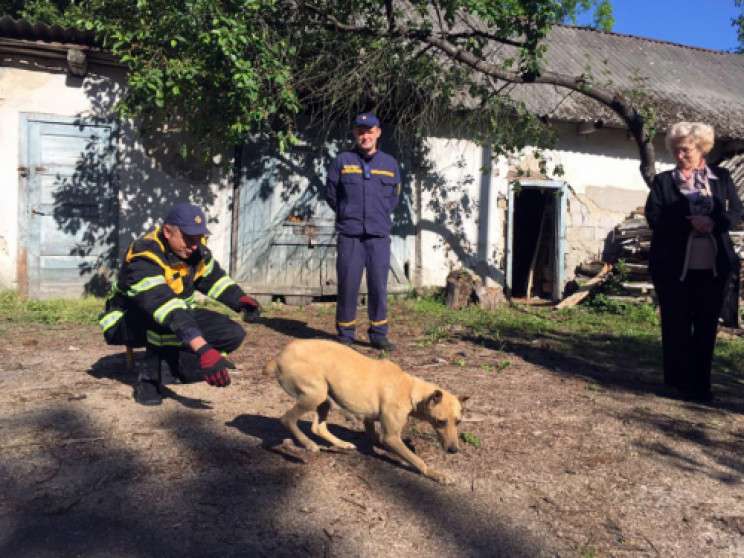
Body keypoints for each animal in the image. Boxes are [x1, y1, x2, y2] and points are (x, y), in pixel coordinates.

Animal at [264, 340, 470, 484]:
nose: (454, 450)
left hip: (325, 397)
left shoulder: (370, 420)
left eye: (458, 422)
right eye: (440, 422)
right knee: (287, 419)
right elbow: (417, 461)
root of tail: (278, 357)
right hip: (316, 393)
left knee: (318, 427)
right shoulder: (391, 436)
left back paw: (342, 444)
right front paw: (436, 474)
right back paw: (308, 444)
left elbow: (377, 437)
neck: (410, 389)